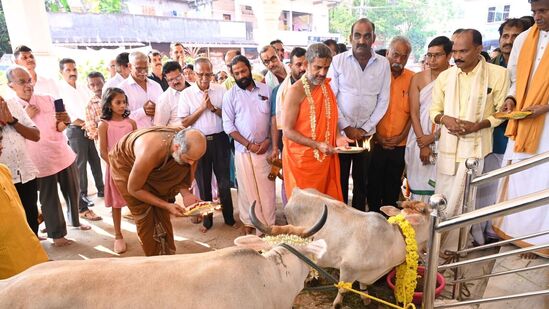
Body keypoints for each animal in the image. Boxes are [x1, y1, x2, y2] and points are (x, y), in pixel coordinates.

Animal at [282, 186, 432, 306]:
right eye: (432, 220)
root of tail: (298, 191)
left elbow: (363, 285)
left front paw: (365, 297)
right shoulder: (348, 269)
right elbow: (342, 292)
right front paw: (337, 304)